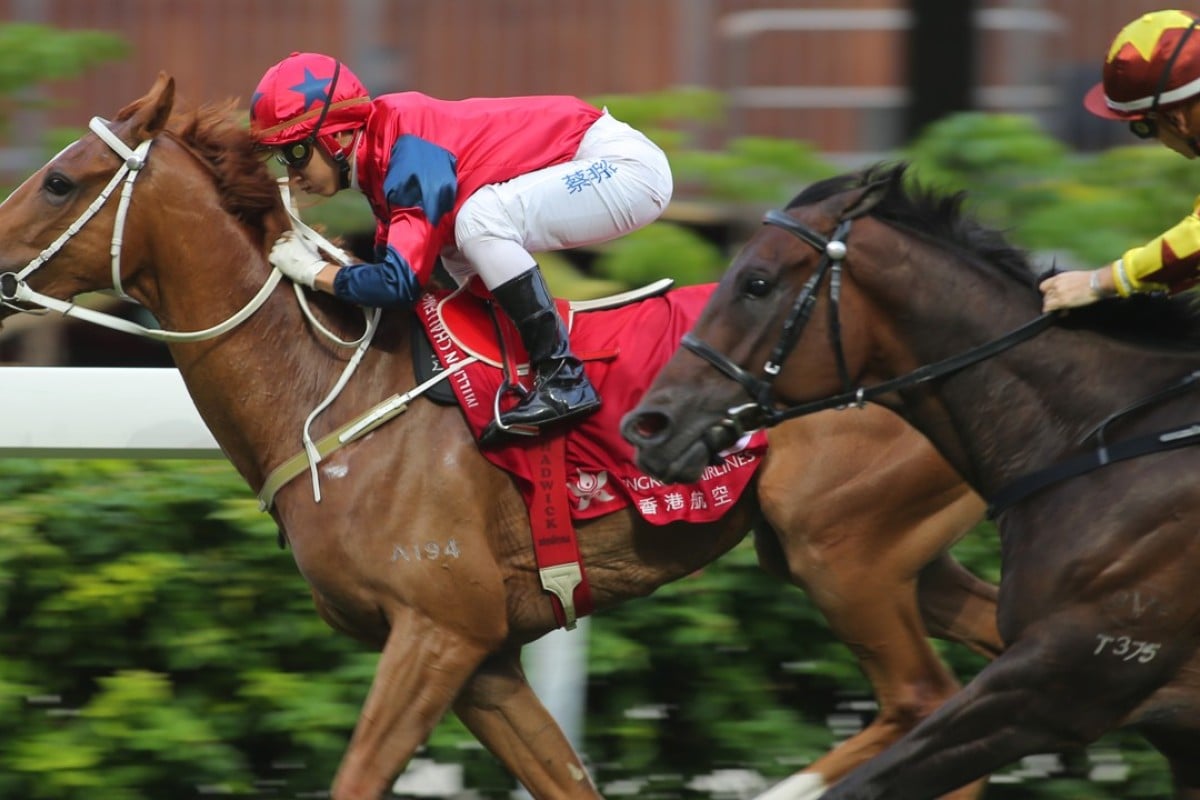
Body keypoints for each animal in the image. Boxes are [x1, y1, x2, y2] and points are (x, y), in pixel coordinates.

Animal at [0, 76, 1003, 800]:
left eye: (58, 179)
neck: (331, 389)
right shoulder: (486, 662)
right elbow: (563, 782)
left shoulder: (438, 631)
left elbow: (359, 776)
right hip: (891, 558)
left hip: (837, 549)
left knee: (924, 701)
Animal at [624, 164, 1200, 800]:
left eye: (756, 283)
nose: (649, 425)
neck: (1097, 436)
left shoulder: (1062, 681)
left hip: (843, 558)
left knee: (919, 696)